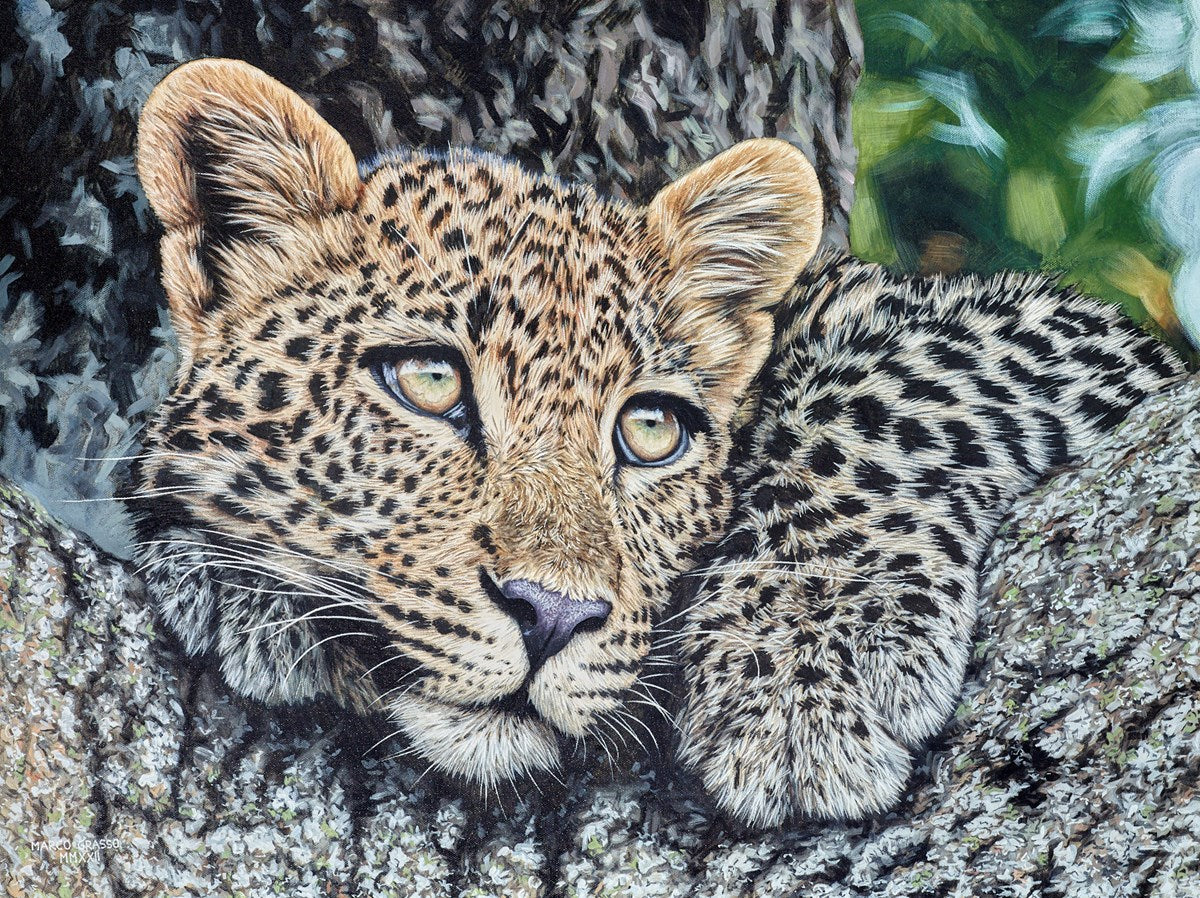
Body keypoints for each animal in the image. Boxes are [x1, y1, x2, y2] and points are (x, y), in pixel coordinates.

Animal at [128, 58, 1184, 831]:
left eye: (650, 431)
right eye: (428, 381)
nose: (551, 615)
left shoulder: (1084, 340)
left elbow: (894, 382)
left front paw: (804, 669)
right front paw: (243, 580)